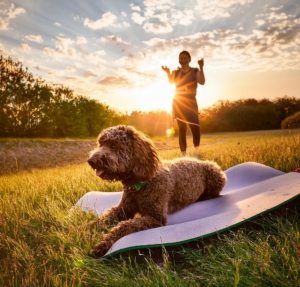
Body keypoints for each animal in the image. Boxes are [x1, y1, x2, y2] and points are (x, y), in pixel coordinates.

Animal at [86, 126, 225, 258]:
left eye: (113, 145)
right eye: (100, 144)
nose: (90, 161)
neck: (139, 185)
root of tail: (200, 160)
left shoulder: (156, 217)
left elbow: (124, 226)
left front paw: (104, 243)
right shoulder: (123, 208)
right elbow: (104, 218)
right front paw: (86, 227)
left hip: (215, 174)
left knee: (215, 193)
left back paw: (205, 197)